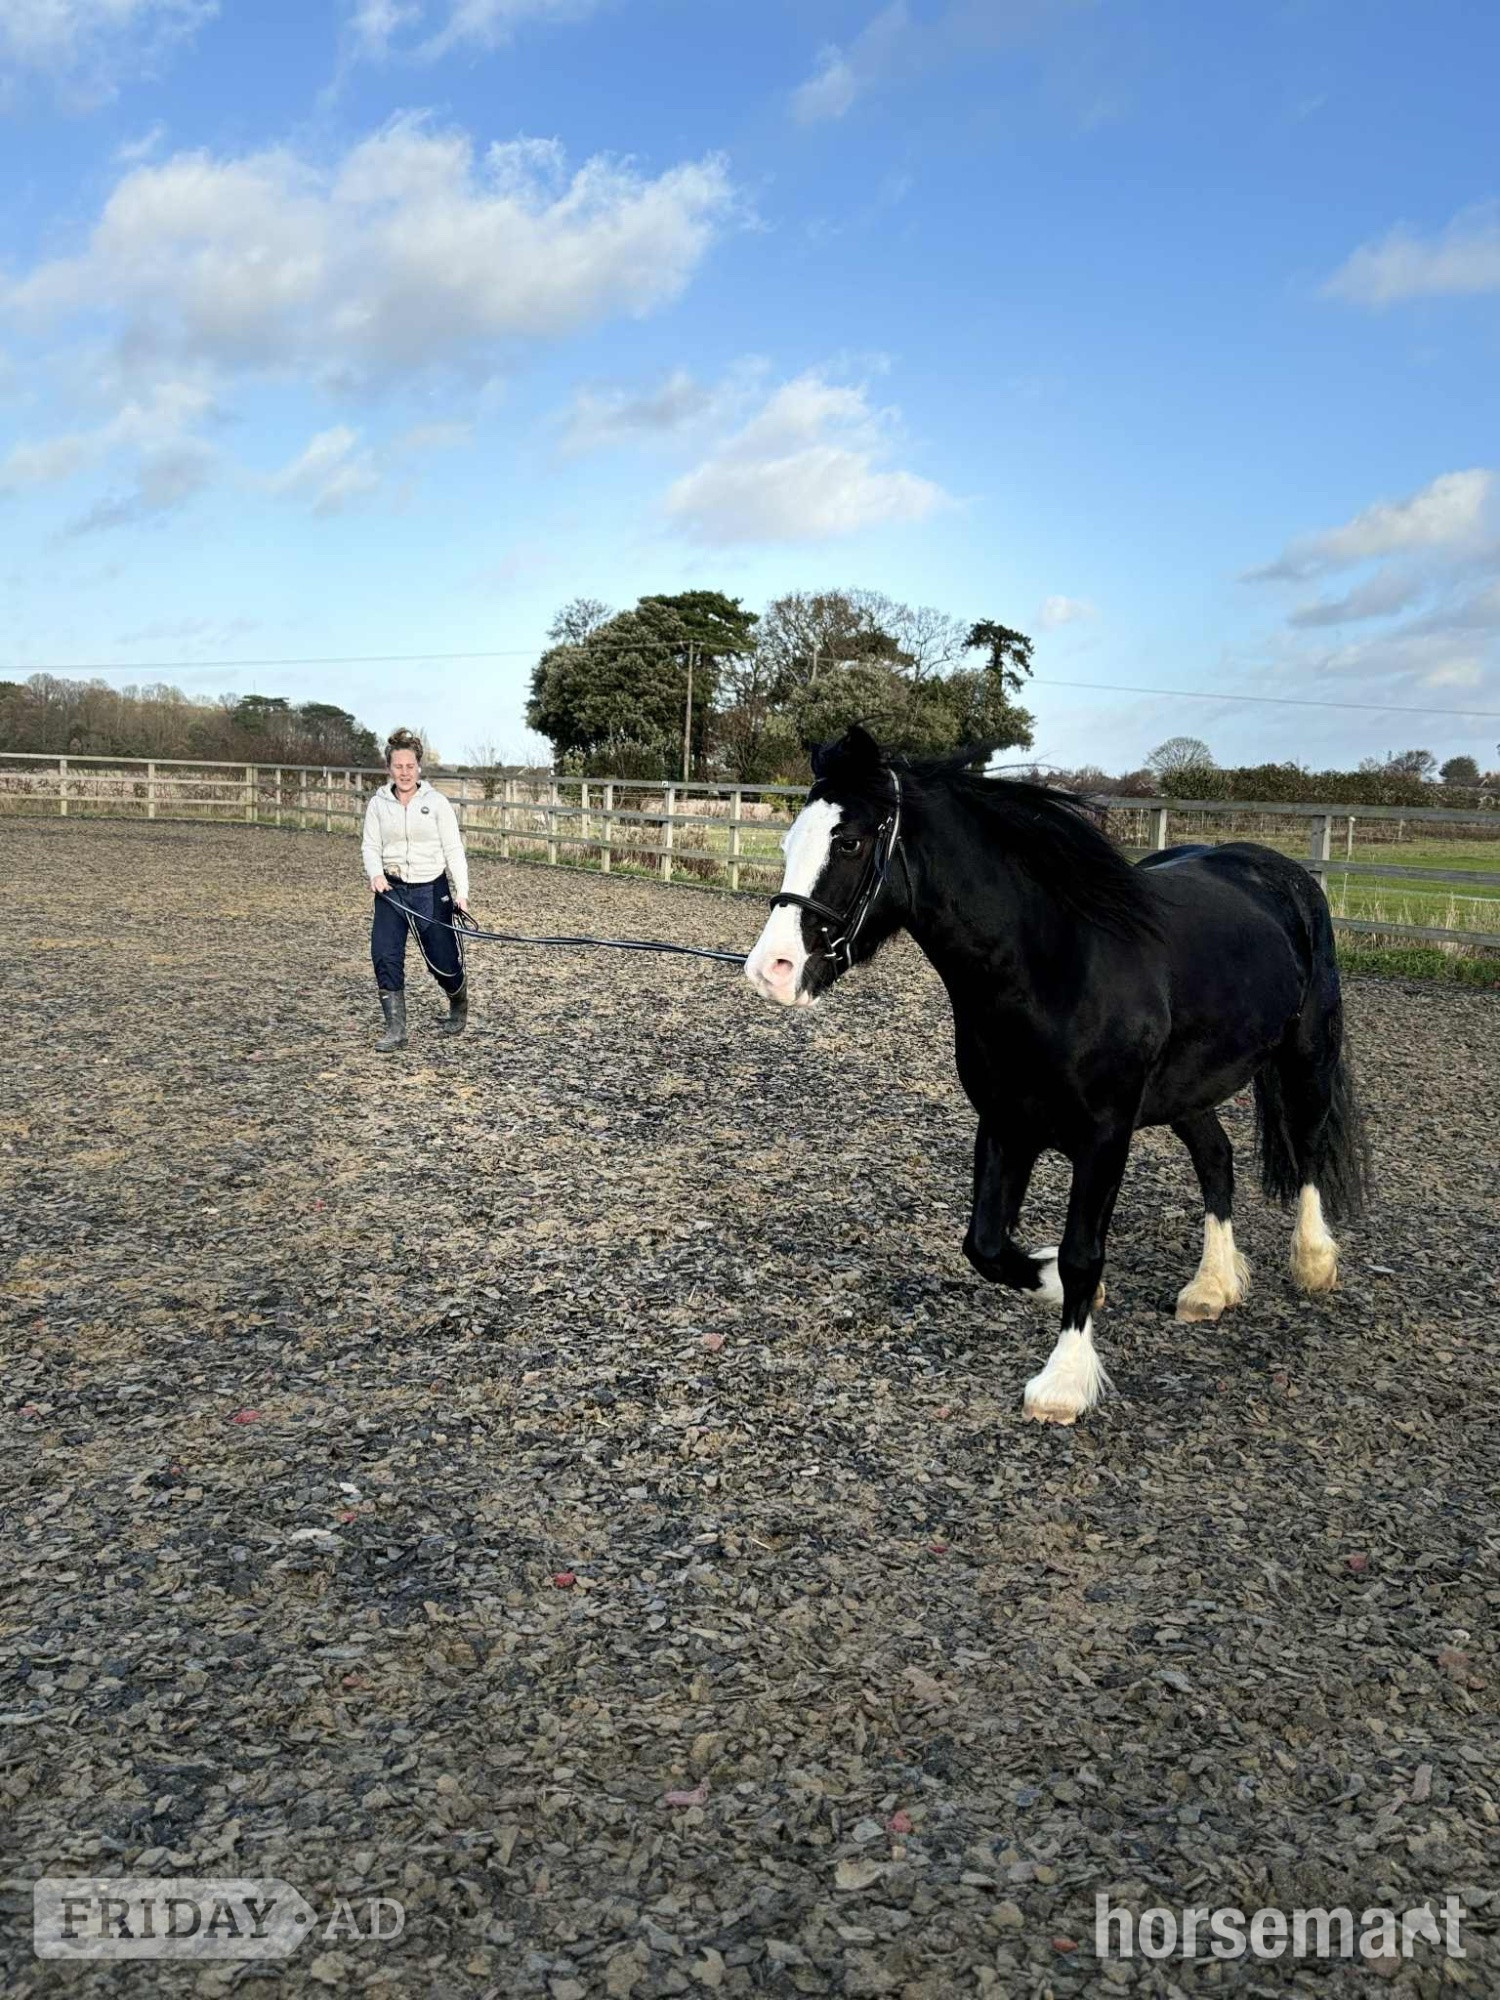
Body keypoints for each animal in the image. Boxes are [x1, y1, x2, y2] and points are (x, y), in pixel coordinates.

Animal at [744, 725, 1369, 1425]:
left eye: (848, 842)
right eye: (787, 843)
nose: (769, 969)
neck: (1054, 967)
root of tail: (1284, 875)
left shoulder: (1104, 1136)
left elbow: (1081, 1253)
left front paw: (1064, 1382)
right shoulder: (1006, 1122)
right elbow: (985, 1244)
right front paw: (1046, 1281)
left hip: (1308, 1056)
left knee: (1308, 1145)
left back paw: (1313, 1263)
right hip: (1186, 1092)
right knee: (1217, 1158)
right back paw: (1212, 1286)